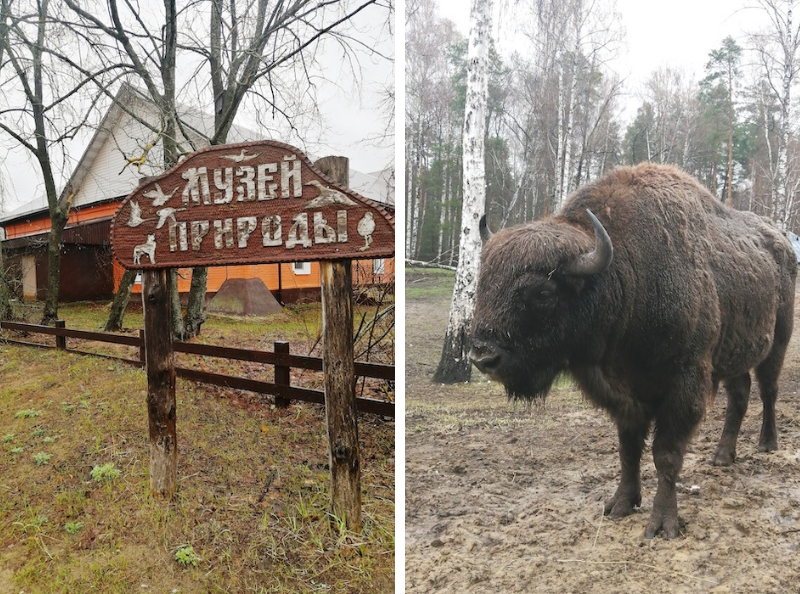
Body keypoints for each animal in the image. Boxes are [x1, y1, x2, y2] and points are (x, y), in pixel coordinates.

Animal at [472, 162, 796, 536]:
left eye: (542, 293)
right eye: (483, 283)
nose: (483, 356)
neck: (623, 274)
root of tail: (782, 242)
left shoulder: (684, 385)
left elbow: (665, 454)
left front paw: (663, 524)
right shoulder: (624, 396)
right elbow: (628, 450)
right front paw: (620, 505)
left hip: (778, 342)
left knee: (768, 390)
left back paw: (767, 443)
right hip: (733, 355)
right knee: (740, 396)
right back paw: (721, 456)